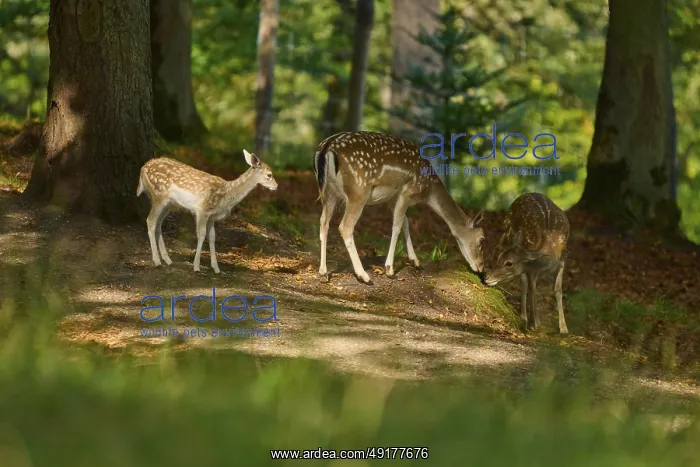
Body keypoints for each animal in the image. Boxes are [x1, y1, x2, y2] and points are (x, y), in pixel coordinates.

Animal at [136, 150, 278, 274]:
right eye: (269, 175)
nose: (276, 186)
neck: (226, 195)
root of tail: (143, 168)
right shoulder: (202, 210)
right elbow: (201, 235)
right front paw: (196, 267)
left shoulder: (212, 216)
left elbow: (212, 237)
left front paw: (216, 268)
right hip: (159, 195)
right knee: (150, 221)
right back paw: (157, 261)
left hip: (169, 204)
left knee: (158, 224)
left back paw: (167, 259)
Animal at [313, 131, 485, 285]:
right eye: (482, 239)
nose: (481, 267)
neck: (428, 188)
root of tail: (326, 148)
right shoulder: (407, 191)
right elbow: (396, 226)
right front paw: (390, 269)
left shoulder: (391, 198)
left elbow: (405, 222)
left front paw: (416, 261)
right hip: (358, 191)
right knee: (345, 226)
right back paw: (363, 276)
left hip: (329, 192)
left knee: (323, 222)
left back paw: (323, 272)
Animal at [481, 192, 569, 334]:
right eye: (500, 259)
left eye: (509, 263)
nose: (486, 277)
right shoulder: (530, 267)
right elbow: (532, 289)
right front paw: (534, 324)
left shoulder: (562, 260)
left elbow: (557, 290)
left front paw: (563, 328)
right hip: (508, 230)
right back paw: (524, 317)